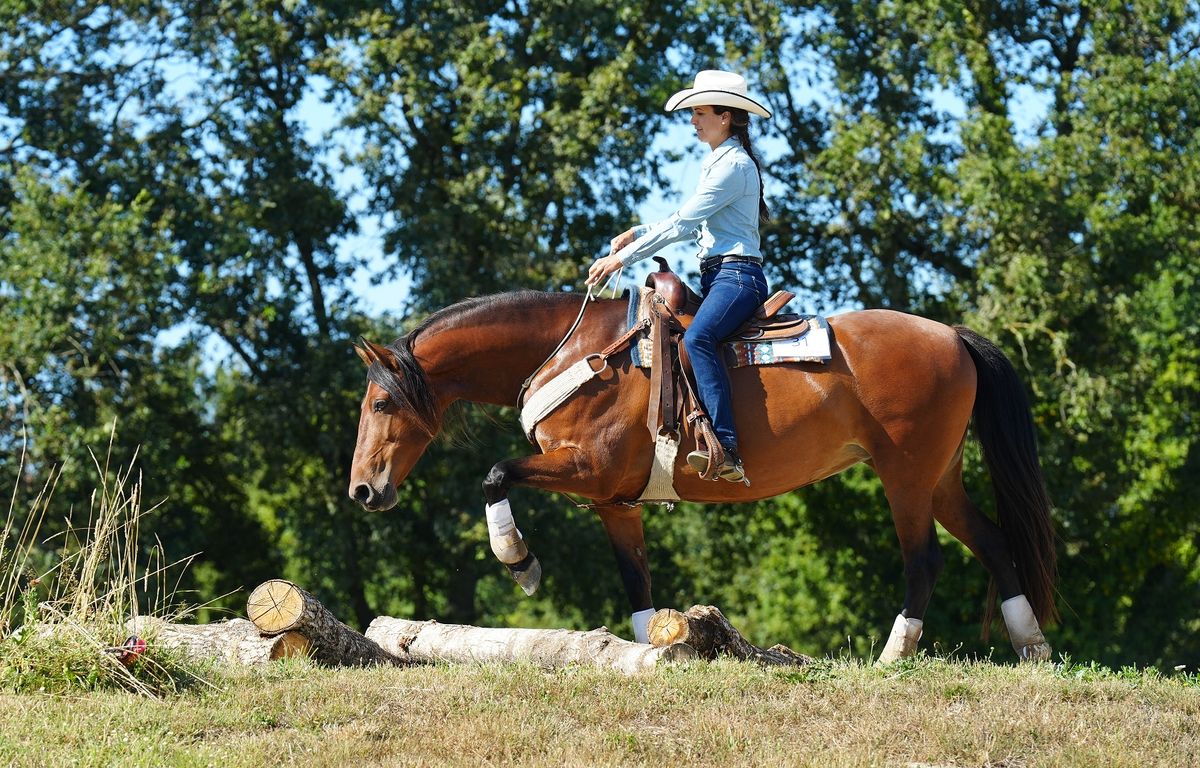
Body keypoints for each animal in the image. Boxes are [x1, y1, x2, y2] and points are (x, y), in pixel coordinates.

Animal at [343, 288, 1056, 662]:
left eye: (380, 404)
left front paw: (519, 560)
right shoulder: (615, 501)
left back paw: (892, 656)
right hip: (941, 478)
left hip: (904, 474)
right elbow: (636, 583)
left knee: (924, 560)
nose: (362, 490)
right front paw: (646, 650)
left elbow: (493, 475)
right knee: (994, 543)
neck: (575, 355)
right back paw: (1032, 647)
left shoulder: (586, 469)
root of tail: (953, 336)